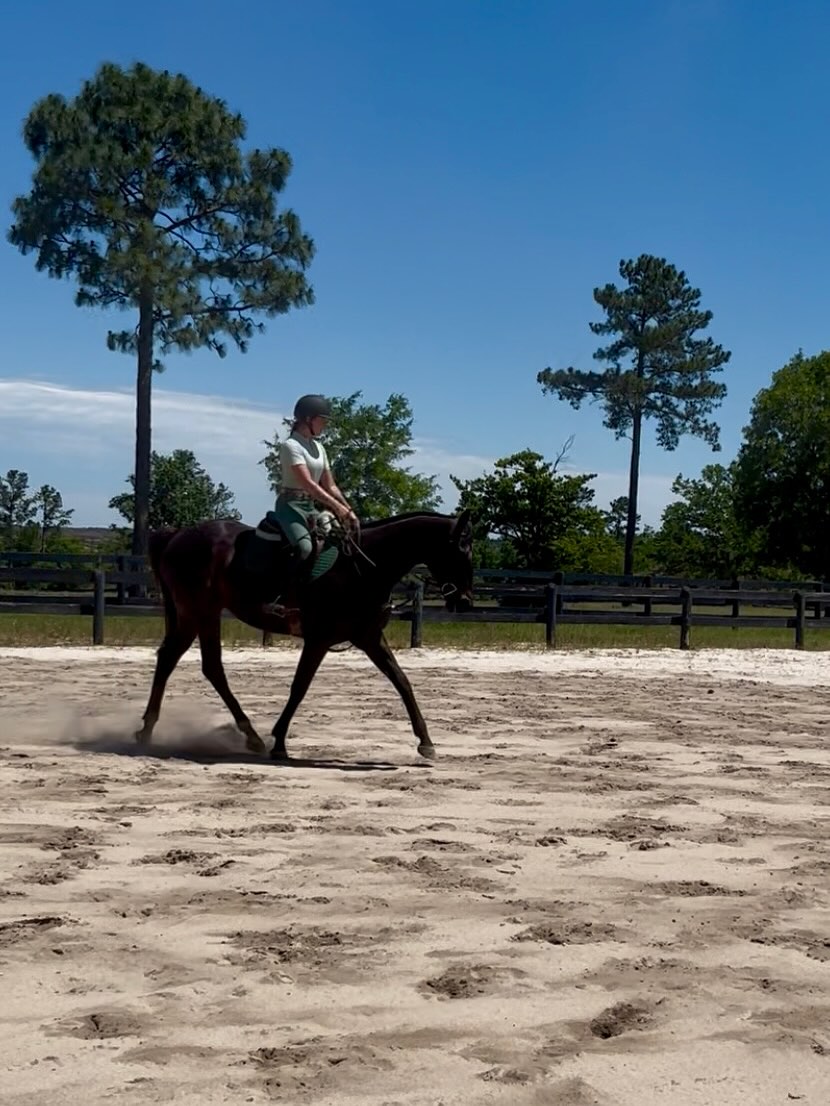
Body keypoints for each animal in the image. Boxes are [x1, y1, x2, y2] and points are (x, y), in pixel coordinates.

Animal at [136, 509, 473, 760]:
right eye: (461, 551)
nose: (465, 602)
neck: (361, 568)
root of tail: (177, 535)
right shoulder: (318, 640)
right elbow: (299, 688)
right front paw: (279, 743)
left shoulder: (369, 638)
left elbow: (402, 681)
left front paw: (426, 741)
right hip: (200, 613)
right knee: (195, 664)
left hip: (200, 615)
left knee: (187, 662)